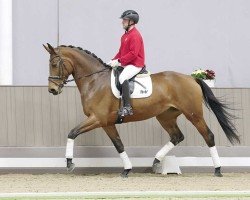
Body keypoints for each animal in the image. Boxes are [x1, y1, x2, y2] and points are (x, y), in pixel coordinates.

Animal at [43, 43, 240, 177]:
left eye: (54, 63)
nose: (52, 90)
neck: (95, 81)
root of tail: (191, 78)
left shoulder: (97, 119)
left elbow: (72, 132)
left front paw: (69, 162)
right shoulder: (106, 123)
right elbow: (118, 144)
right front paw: (127, 169)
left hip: (194, 114)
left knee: (208, 136)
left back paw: (218, 169)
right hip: (165, 116)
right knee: (177, 136)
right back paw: (155, 162)